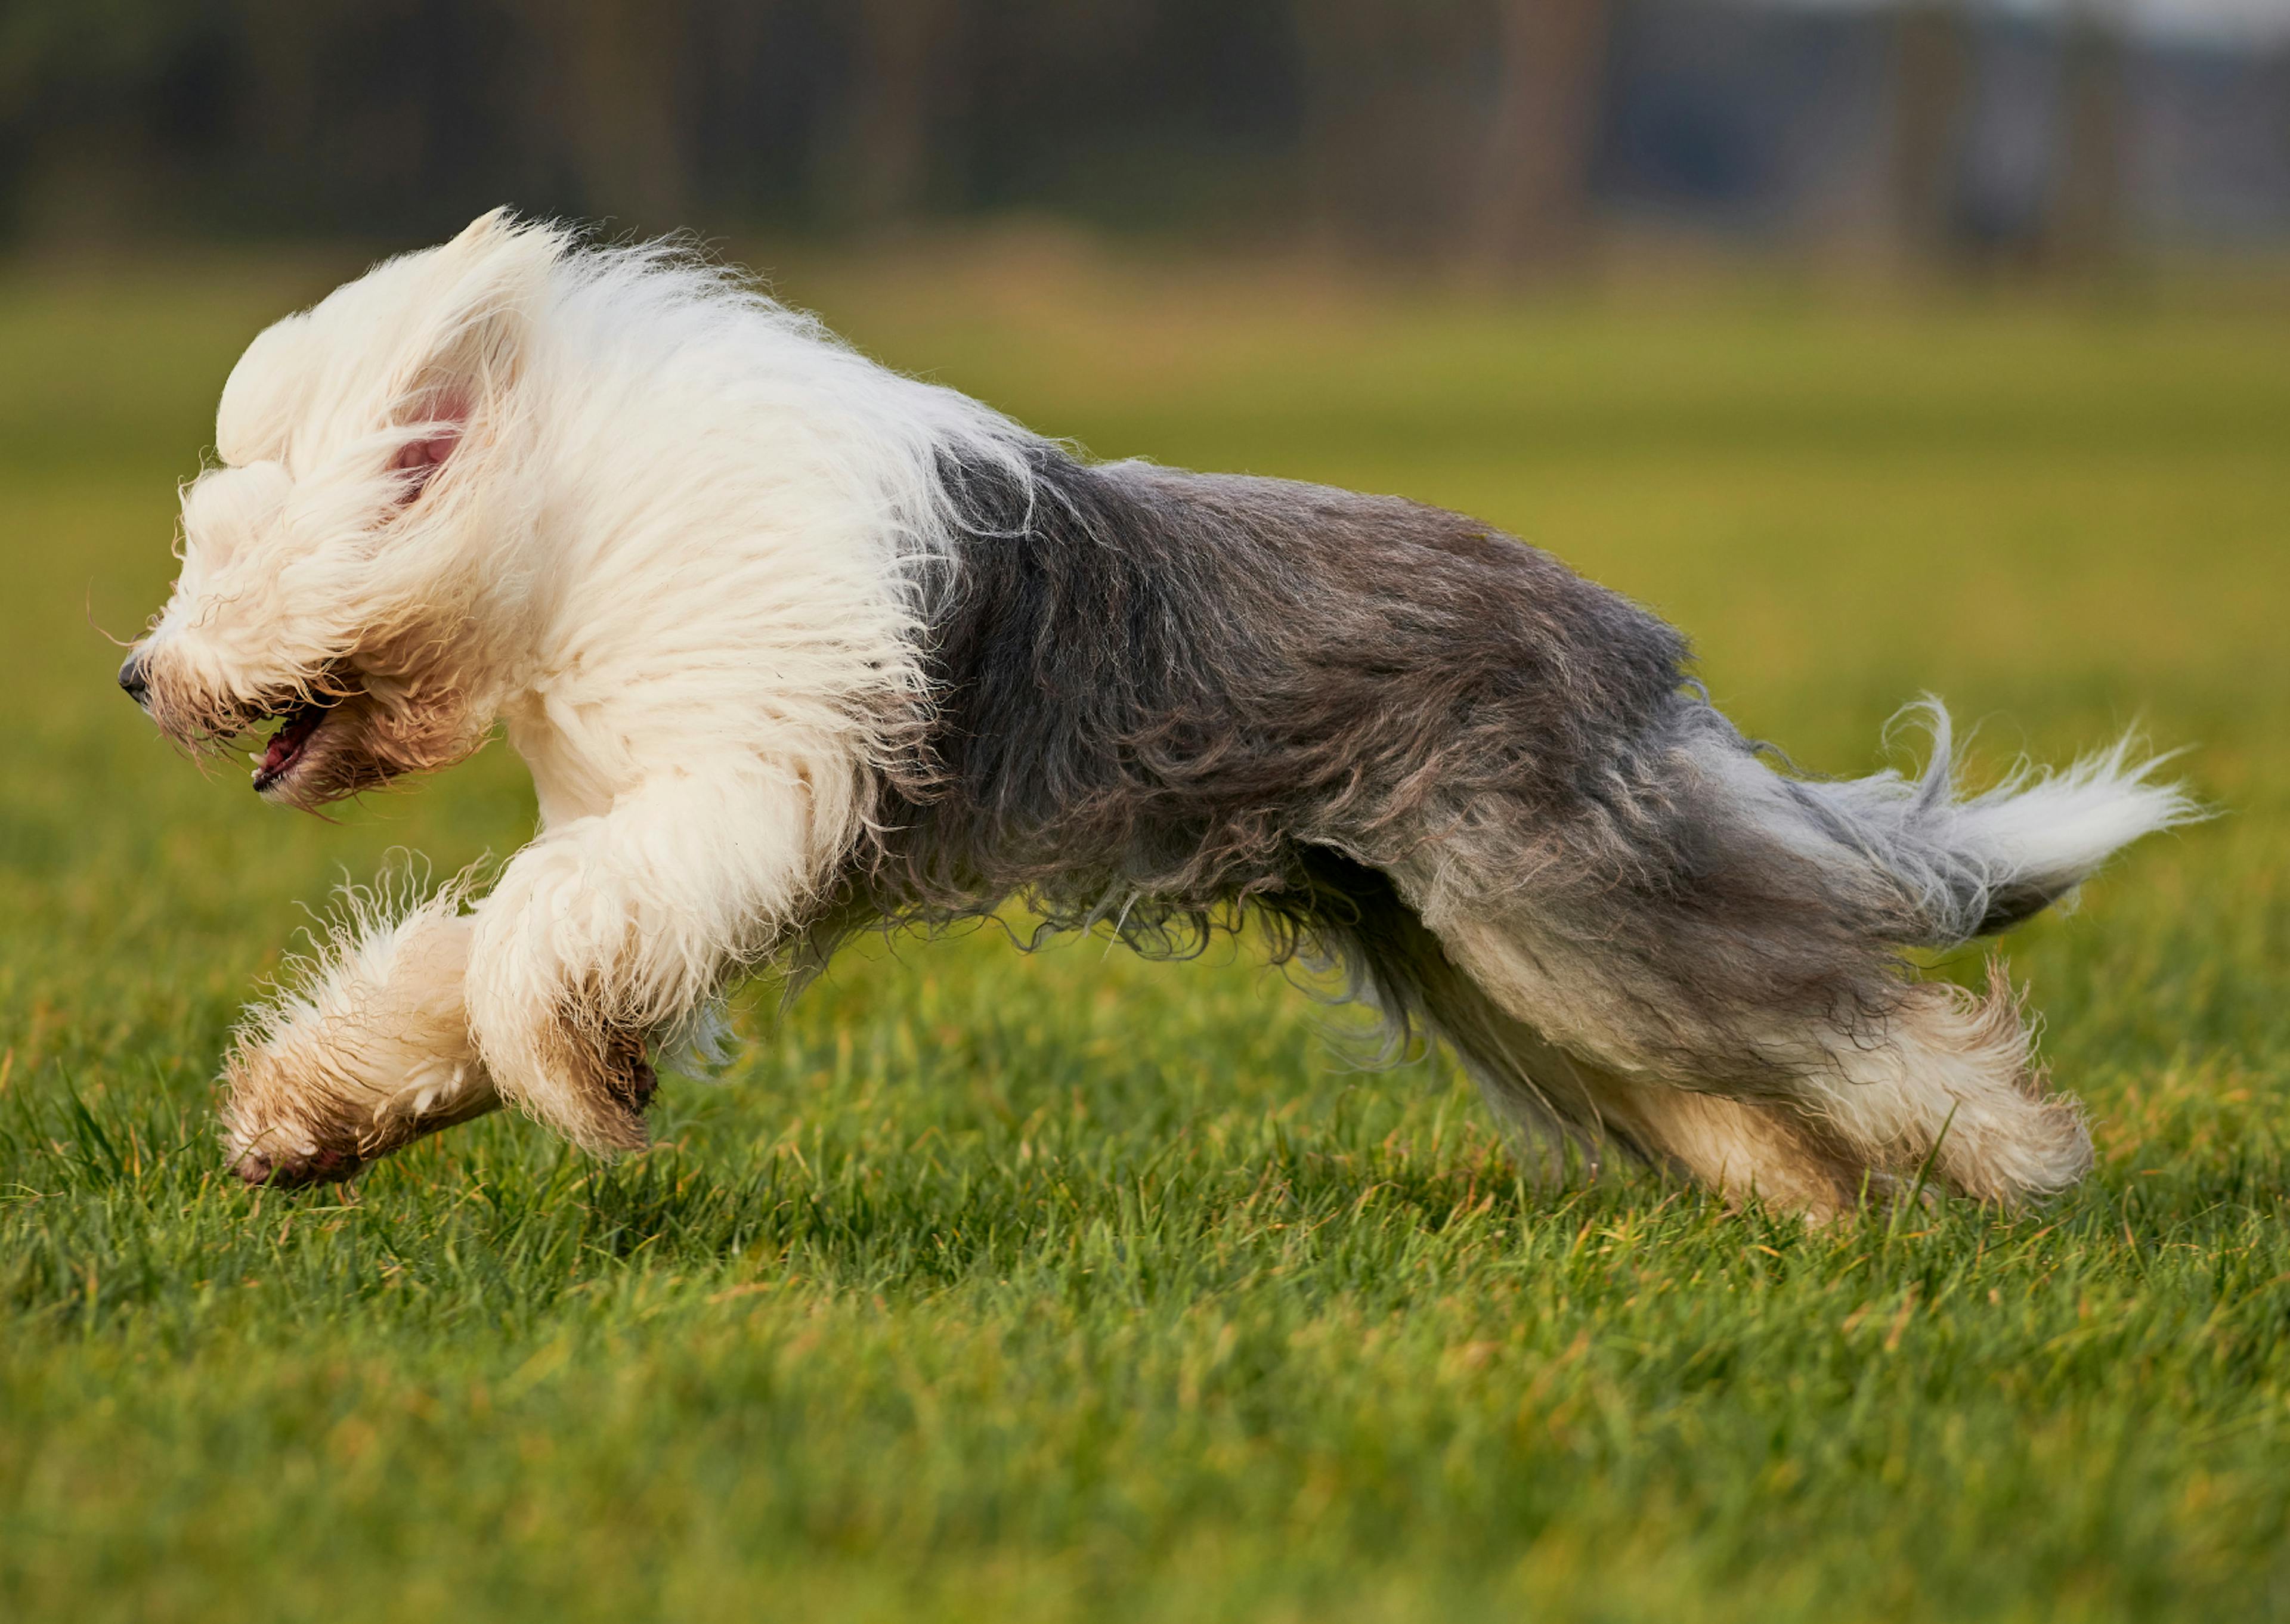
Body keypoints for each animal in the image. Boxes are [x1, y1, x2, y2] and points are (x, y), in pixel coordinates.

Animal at [116, 209, 2189, 1209]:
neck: (570, 524)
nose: (139, 675)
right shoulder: (641, 812)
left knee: (1843, 1012)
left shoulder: (733, 790)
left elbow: (538, 939)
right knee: (1727, 1070)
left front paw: (579, 1085)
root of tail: (1629, 634)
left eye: (225, 554)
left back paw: (2013, 1157)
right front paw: (302, 1120)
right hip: (1469, 937)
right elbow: (456, 962)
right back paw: (1815, 1204)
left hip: (1561, 904)